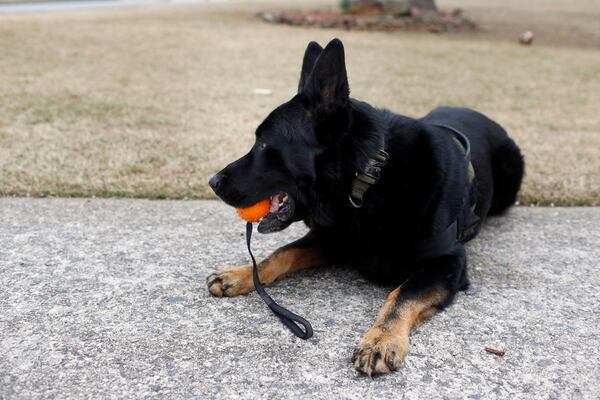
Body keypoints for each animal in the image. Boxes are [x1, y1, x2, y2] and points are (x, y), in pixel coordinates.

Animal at [205, 37, 520, 376]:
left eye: (263, 143)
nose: (213, 181)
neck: (366, 181)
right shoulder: (332, 238)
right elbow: (281, 254)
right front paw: (239, 274)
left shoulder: (449, 262)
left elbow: (402, 294)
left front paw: (381, 339)